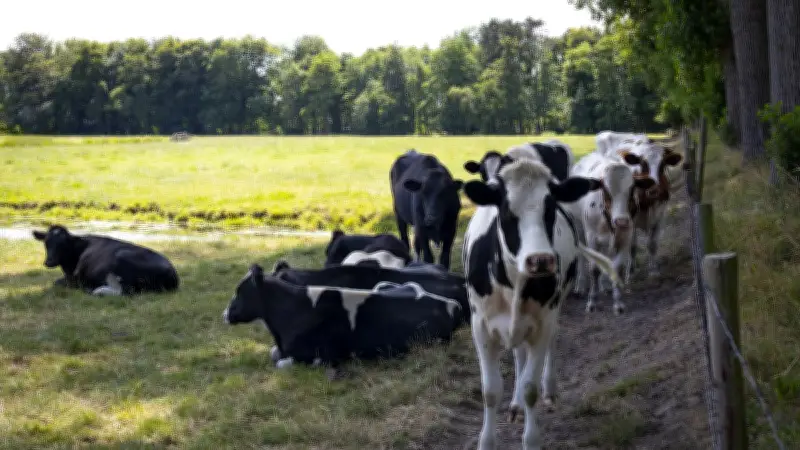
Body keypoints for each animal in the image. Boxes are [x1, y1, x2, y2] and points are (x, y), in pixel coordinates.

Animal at [32, 224, 180, 296]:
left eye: (63, 244)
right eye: (46, 243)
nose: (49, 262)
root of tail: (172, 271)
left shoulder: (75, 278)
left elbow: (56, 282)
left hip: (122, 257)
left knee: (126, 291)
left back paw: (95, 291)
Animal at [222, 264, 465, 373]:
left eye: (239, 292)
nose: (225, 314)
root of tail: (452, 304)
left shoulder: (326, 354)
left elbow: (282, 362)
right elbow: (274, 354)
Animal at [460, 158, 622, 450]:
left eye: (550, 209)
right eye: (506, 211)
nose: (540, 260)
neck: (513, 284)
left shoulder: (542, 323)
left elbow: (530, 389)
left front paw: (531, 439)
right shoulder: (480, 327)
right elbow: (490, 391)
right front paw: (487, 441)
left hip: (552, 314)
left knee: (549, 347)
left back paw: (550, 389)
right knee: (518, 355)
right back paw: (514, 404)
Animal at [566, 152, 656, 314]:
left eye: (631, 190)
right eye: (606, 191)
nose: (621, 221)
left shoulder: (625, 236)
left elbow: (617, 269)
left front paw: (618, 303)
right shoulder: (592, 237)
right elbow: (594, 269)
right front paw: (592, 302)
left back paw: (605, 286)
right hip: (578, 227)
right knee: (581, 257)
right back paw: (580, 286)